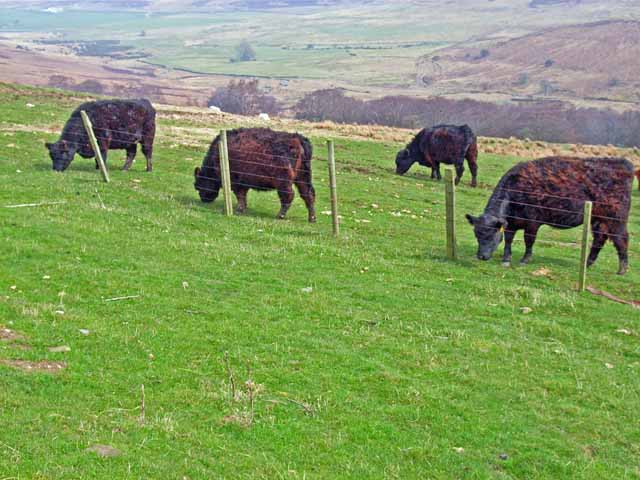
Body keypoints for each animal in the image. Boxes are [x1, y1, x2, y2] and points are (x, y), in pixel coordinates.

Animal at [464, 158, 636, 276]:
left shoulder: (533, 222)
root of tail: (623, 163)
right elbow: (508, 240)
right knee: (599, 239)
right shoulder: (511, 224)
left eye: (491, 235)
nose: (481, 256)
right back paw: (587, 263)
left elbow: (529, 240)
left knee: (621, 239)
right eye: (477, 234)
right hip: (598, 220)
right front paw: (506, 259)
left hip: (616, 220)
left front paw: (525, 259)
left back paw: (622, 269)